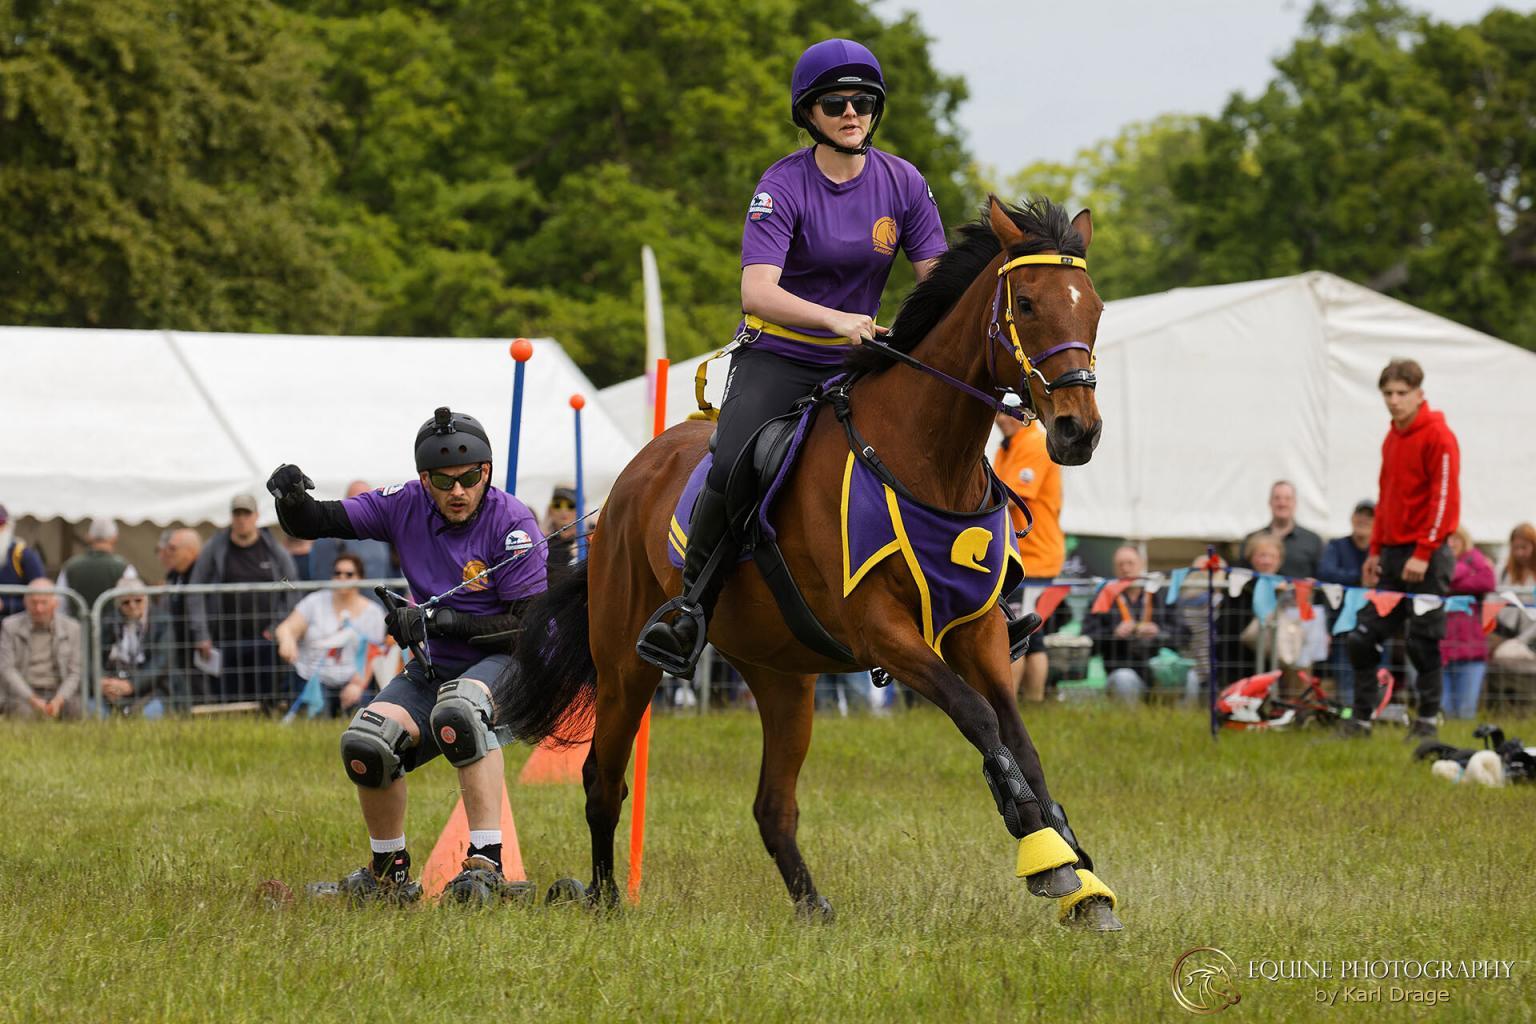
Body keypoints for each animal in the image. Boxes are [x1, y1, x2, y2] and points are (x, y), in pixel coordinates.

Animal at [497, 196, 1124, 933]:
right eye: (1025, 303)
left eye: (1096, 307)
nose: (1079, 431)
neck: (926, 460)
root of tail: (629, 478)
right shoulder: (882, 631)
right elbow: (976, 715)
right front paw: (1042, 848)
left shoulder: (979, 630)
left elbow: (1017, 734)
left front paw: (1078, 871)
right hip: (625, 661)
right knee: (603, 775)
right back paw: (603, 897)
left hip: (782, 678)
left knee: (773, 805)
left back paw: (811, 903)